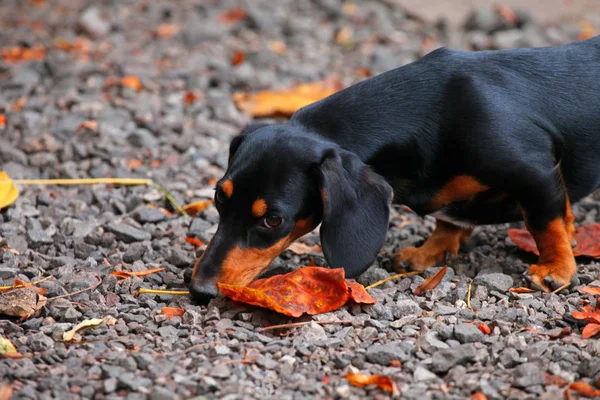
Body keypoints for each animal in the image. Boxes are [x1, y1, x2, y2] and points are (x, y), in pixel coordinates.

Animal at [190, 36, 600, 300]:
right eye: (219, 197)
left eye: (273, 220)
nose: (198, 290)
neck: (434, 114)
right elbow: (449, 221)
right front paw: (427, 252)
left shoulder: (534, 170)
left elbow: (546, 222)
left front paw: (556, 268)